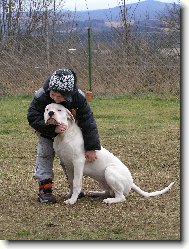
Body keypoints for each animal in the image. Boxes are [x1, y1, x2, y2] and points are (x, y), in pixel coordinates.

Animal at [44, 103, 174, 204]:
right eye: (47, 109)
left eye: (59, 110)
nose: (50, 113)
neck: (63, 135)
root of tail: (131, 182)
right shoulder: (69, 165)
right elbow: (71, 182)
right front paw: (70, 195)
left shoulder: (78, 163)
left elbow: (76, 183)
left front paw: (72, 200)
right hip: (102, 180)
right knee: (107, 191)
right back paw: (96, 193)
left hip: (110, 171)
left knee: (121, 197)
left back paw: (110, 200)